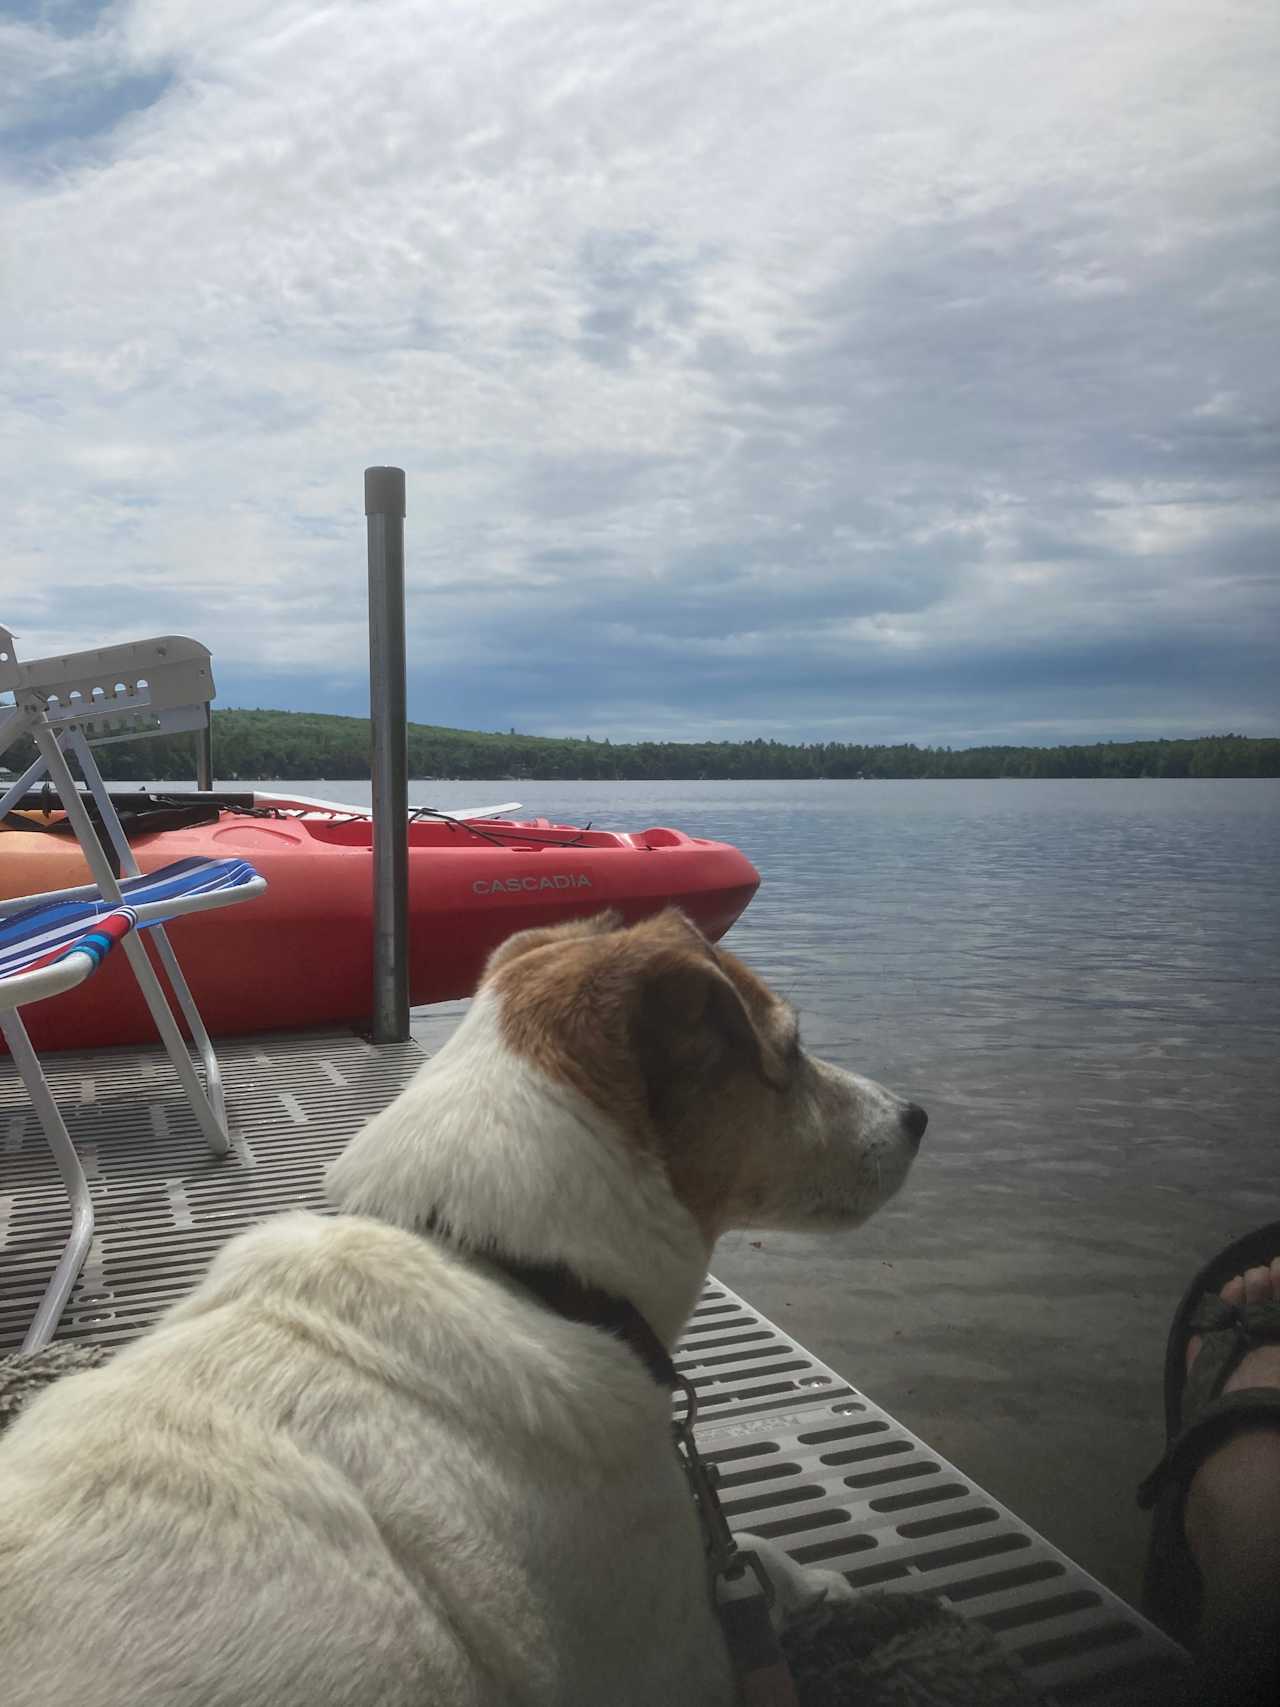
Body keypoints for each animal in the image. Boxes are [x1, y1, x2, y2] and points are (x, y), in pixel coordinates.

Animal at [0, 914, 928, 1700]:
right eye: (793, 1047)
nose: (918, 1114)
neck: (502, 1266)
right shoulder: (675, 1650)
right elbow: (747, 1567)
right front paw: (817, 1582)